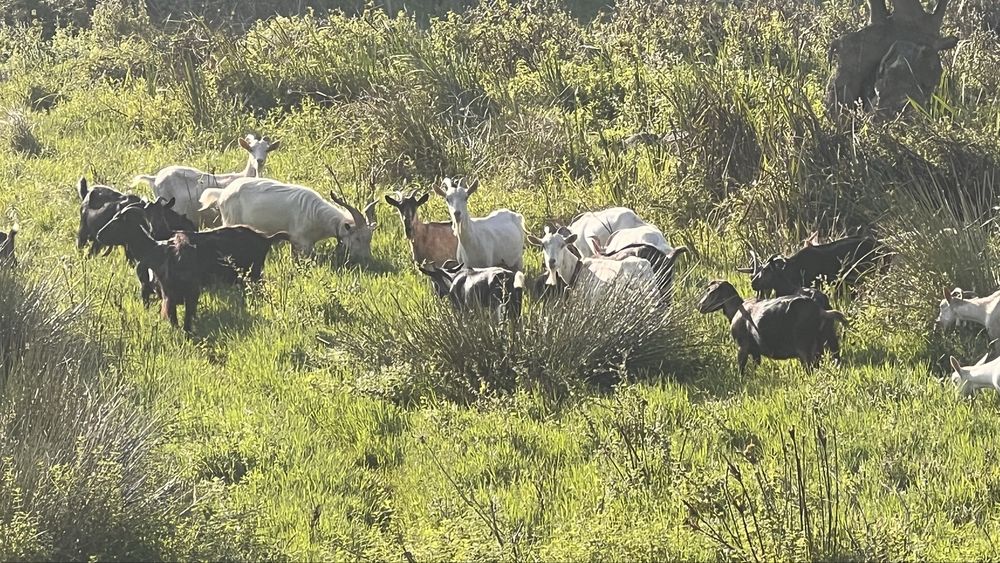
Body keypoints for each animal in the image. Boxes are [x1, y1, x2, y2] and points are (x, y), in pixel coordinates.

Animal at [199, 177, 377, 261]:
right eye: (357, 238)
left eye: (369, 238)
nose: (367, 259)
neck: (317, 214)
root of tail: (222, 194)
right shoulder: (303, 242)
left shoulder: (297, 242)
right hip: (231, 221)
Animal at [698, 280, 848, 373]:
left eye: (710, 291)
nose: (700, 306)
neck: (737, 309)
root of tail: (821, 311)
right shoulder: (755, 351)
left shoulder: (742, 347)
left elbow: (741, 369)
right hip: (828, 340)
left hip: (805, 347)